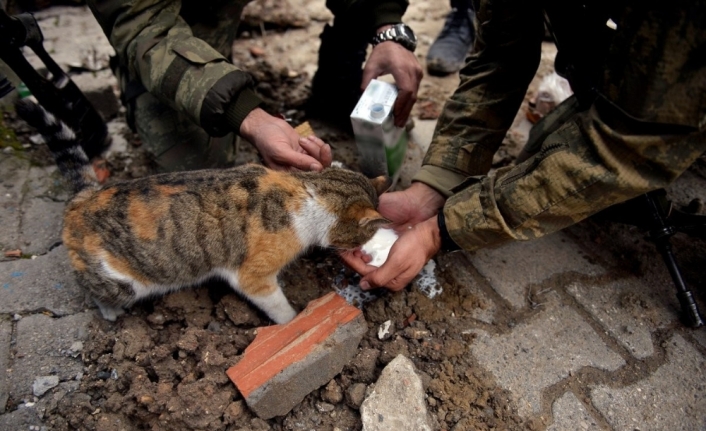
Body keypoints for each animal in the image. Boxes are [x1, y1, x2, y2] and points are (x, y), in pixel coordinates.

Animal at [16, 99, 388, 324]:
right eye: (365, 234)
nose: (359, 250)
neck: (307, 190)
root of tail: (85, 196)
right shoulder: (252, 275)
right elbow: (278, 306)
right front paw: (293, 321)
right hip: (120, 282)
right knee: (92, 289)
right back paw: (110, 312)